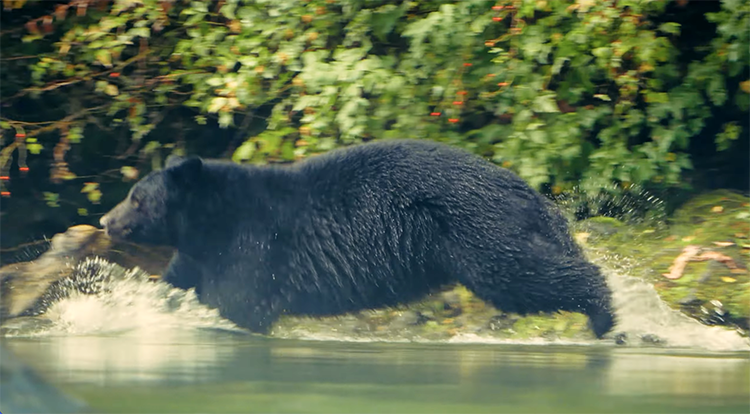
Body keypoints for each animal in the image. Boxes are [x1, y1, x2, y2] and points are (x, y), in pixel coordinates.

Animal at [99, 139, 616, 338]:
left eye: (136, 198)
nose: (105, 220)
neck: (211, 222)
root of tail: (527, 190)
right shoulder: (200, 254)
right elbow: (176, 285)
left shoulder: (254, 246)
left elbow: (238, 303)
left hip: (479, 230)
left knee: (523, 273)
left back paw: (606, 314)